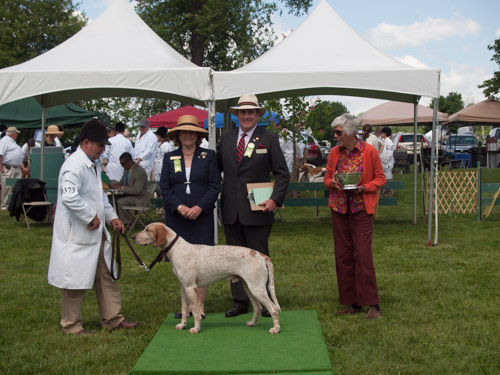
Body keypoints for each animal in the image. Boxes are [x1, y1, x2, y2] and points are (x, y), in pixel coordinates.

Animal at [132, 223, 282, 334]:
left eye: (147, 229)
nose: (132, 236)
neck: (178, 249)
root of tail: (262, 255)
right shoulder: (183, 288)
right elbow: (184, 310)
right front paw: (182, 325)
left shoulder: (190, 288)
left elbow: (195, 311)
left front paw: (196, 328)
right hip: (249, 287)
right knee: (258, 307)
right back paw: (252, 323)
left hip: (257, 289)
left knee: (273, 309)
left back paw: (276, 329)